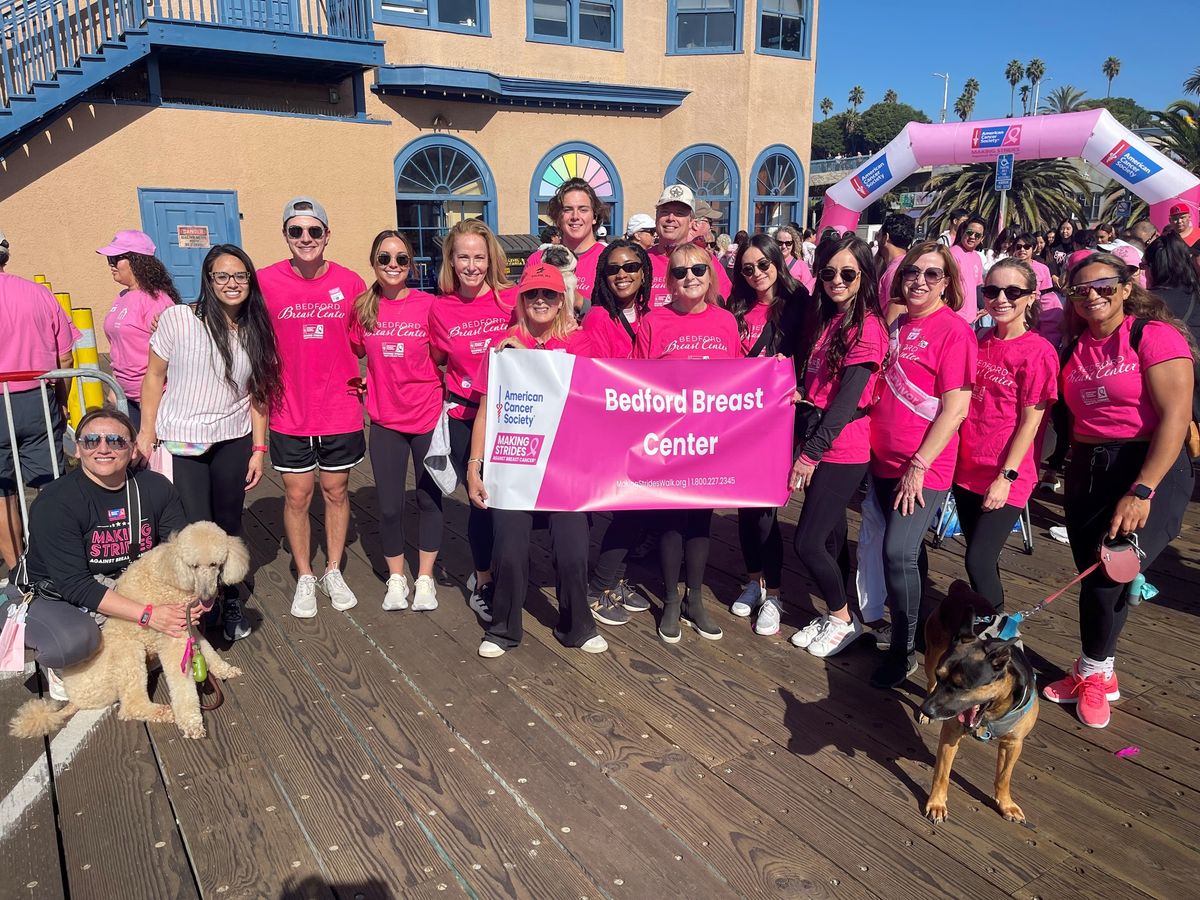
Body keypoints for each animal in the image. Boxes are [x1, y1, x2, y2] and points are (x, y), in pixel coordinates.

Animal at [921, 580, 1036, 830]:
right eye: (943, 678)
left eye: (962, 686)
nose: (927, 709)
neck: (992, 712)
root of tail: (962, 589)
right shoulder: (951, 731)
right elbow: (942, 773)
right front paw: (936, 804)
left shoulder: (1014, 743)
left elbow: (1004, 777)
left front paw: (1006, 805)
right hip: (932, 654)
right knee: (928, 680)